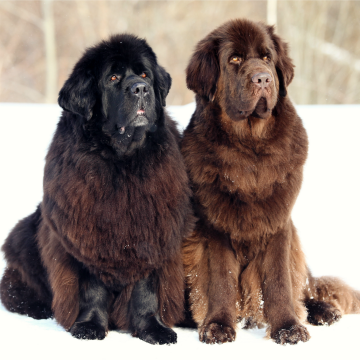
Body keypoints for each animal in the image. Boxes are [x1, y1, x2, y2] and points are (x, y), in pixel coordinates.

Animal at [0, 34, 194, 346]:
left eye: (144, 75)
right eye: (113, 77)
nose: (140, 89)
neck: (121, 161)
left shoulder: (153, 231)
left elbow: (146, 289)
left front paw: (153, 329)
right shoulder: (85, 236)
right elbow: (92, 288)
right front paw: (89, 326)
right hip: (26, 233)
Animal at [183, 19, 360, 346]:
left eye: (267, 58)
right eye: (234, 59)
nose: (263, 78)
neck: (251, 147)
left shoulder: (278, 223)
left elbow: (279, 280)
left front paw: (288, 328)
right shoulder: (214, 227)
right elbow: (221, 279)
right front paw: (218, 326)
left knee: (304, 286)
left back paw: (323, 311)